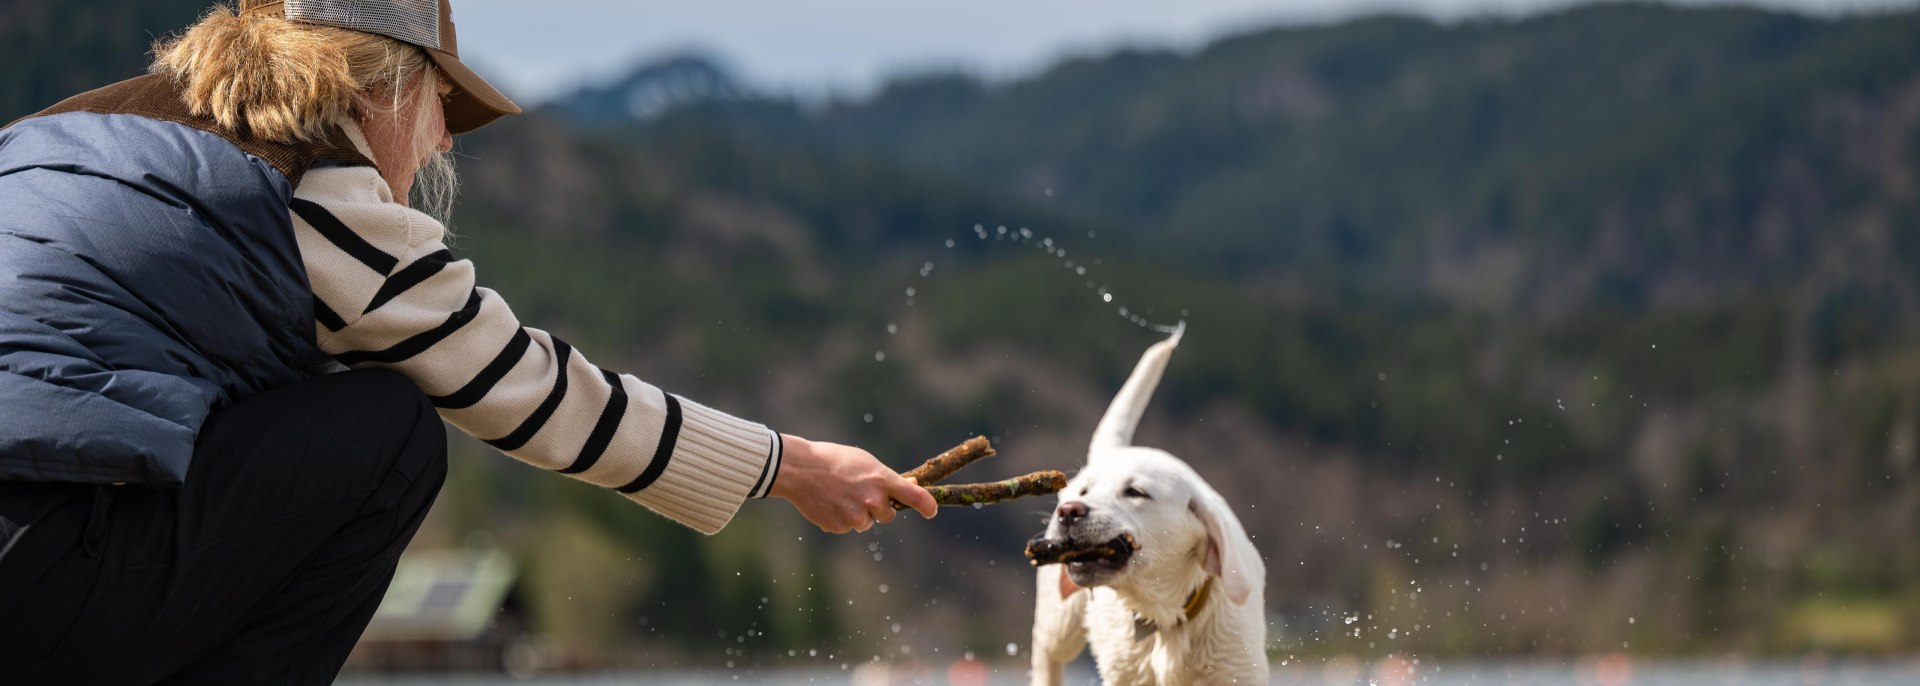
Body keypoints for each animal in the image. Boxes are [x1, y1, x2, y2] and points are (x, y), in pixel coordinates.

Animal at [1029, 324, 1267, 684]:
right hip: (1059, 617)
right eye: (1083, 493)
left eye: (1135, 492)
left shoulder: (1238, 669)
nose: (1068, 512)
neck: (1165, 616)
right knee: (1046, 652)